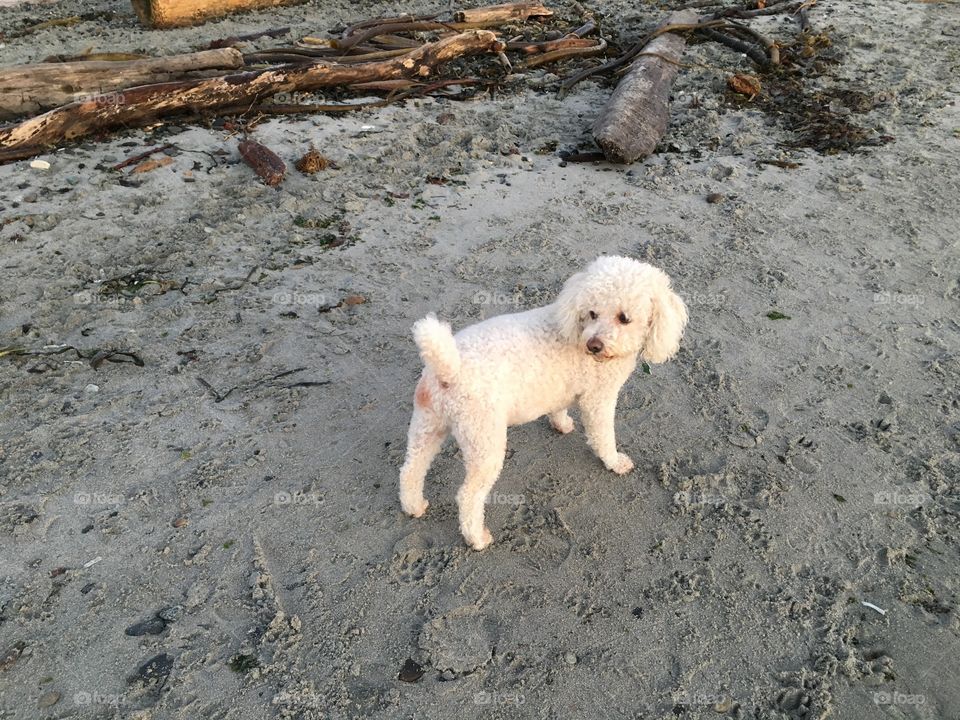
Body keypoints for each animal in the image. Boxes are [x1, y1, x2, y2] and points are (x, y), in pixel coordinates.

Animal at [400, 258, 688, 552]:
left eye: (624, 318)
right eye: (592, 313)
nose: (593, 345)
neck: (577, 333)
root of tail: (449, 368)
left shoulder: (559, 388)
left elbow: (558, 409)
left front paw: (561, 424)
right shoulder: (598, 400)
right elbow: (603, 437)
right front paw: (614, 462)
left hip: (427, 426)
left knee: (410, 470)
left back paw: (414, 506)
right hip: (484, 443)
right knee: (468, 496)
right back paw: (477, 538)